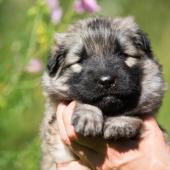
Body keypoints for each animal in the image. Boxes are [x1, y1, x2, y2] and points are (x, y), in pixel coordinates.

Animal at [40, 16, 164, 170]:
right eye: (81, 60)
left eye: (122, 54)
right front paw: (88, 116)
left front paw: (120, 123)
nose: (106, 81)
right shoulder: (56, 130)